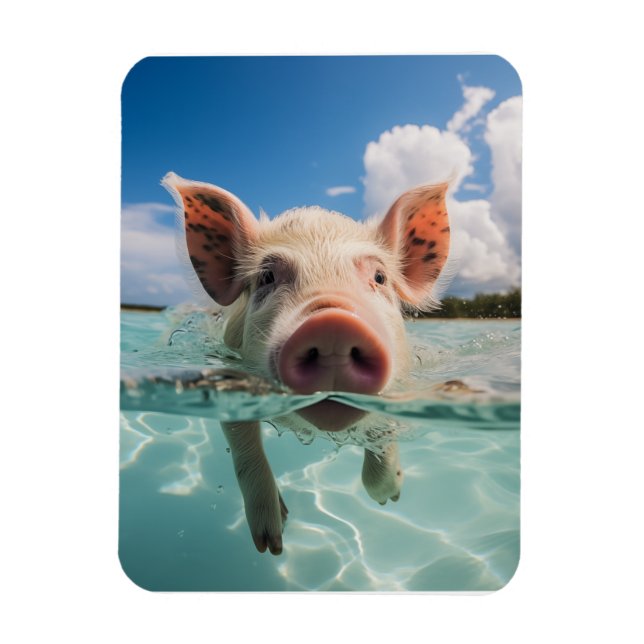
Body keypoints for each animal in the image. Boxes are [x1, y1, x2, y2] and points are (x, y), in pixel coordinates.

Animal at [162, 172, 450, 555]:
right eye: (266, 278)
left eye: (379, 278)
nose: (333, 325)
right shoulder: (228, 379)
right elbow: (244, 448)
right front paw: (271, 544)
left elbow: (383, 432)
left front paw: (389, 497)